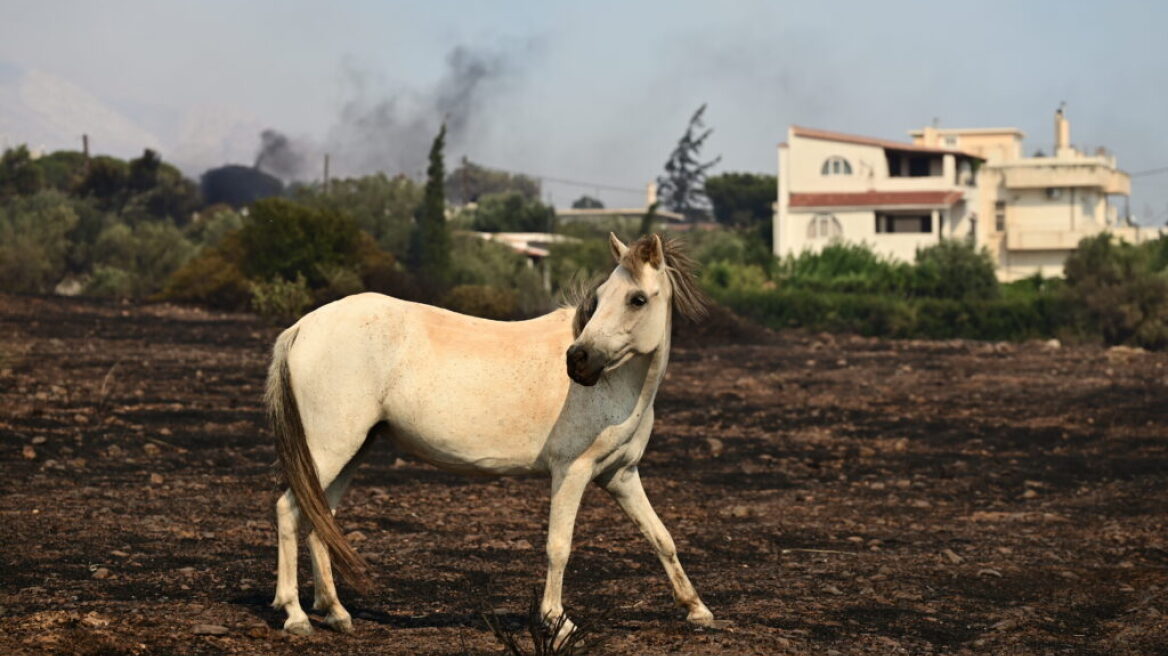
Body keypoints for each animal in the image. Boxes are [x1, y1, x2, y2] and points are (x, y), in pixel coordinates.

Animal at [267, 231, 710, 634]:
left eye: (637, 299)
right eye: (599, 299)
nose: (578, 361)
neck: (618, 385)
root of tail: (302, 327)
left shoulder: (620, 475)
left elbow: (661, 537)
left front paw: (698, 610)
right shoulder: (572, 473)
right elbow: (559, 547)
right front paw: (556, 621)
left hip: (351, 452)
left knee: (320, 519)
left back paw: (336, 612)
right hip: (329, 450)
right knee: (289, 510)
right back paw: (296, 616)